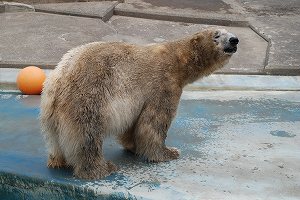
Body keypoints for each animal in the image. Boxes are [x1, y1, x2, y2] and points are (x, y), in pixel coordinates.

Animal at [39, 27, 238, 179]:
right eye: (217, 35)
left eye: (228, 32)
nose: (234, 40)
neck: (177, 58)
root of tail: (59, 80)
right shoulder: (163, 84)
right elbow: (153, 123)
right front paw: (168, 152)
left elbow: (133, 126)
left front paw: (133, 146)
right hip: (87, 97)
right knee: (87, 135)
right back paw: (103, 168)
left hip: (49, 110)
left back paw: (58, 161)